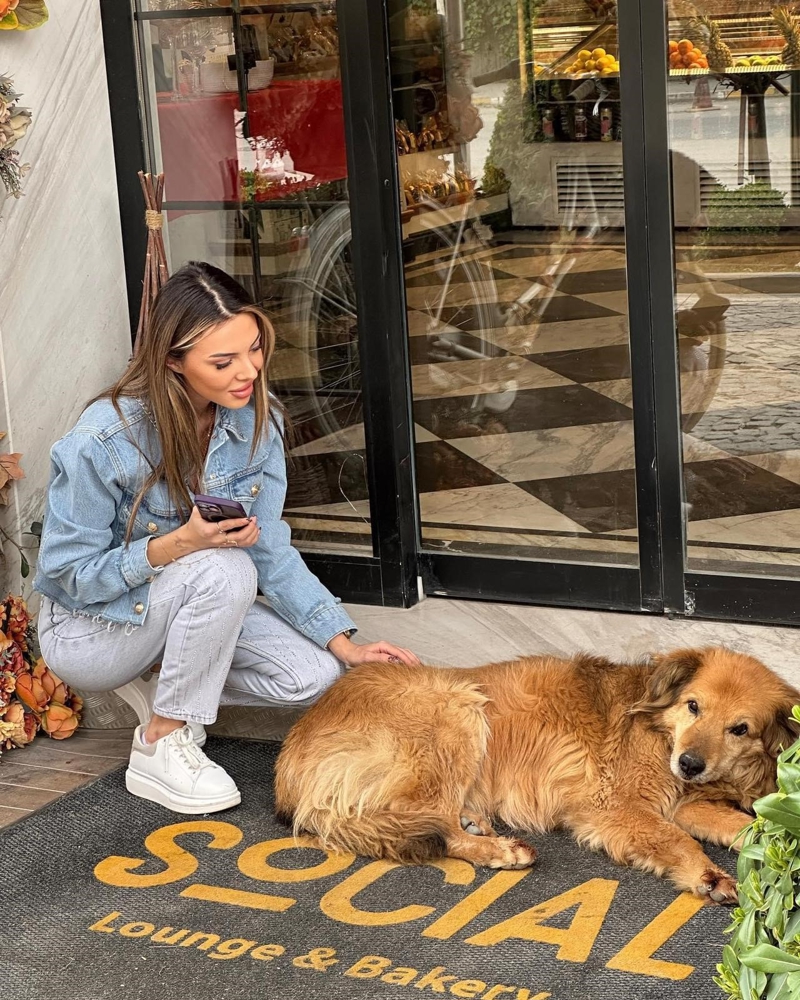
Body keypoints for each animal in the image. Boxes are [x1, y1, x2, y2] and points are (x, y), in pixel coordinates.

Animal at [274, 647, 800, 904]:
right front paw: (708, 876)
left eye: (740, 729)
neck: (660, 729)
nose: (689, 764)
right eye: (694, 706)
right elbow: (675, 839)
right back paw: (500, 849)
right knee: (430, 826)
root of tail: (291, 753)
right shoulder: (614, 806)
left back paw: (476, 825)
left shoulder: (687, 802)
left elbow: (747, 825)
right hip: (459, 707)